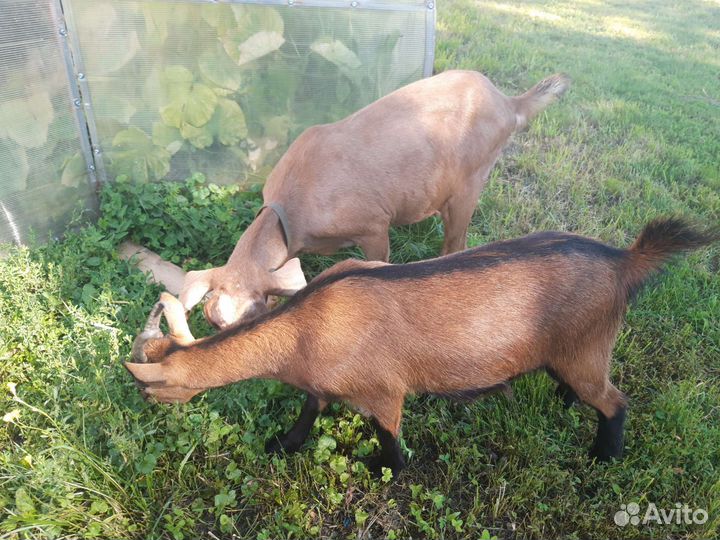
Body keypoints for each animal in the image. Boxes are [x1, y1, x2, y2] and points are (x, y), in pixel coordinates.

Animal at [126, 218, 717, 474]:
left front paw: (386, 470)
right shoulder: (320, 385)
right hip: (569, 351)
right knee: (580, 389)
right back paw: (563, 402)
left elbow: (389, 437)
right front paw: (282, 444)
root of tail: (624, 260)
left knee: (615, 402)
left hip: (588, 347)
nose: (143, 407)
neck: (304, 329)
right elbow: (309, 410)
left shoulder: (384, 391)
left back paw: (602, 458)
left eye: (150, 391)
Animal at [179, 70, 570, 329]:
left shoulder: (373, 227)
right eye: (212, 322)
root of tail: (507, 103)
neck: (291, 207)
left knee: (456, 241)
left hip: (469, 183)